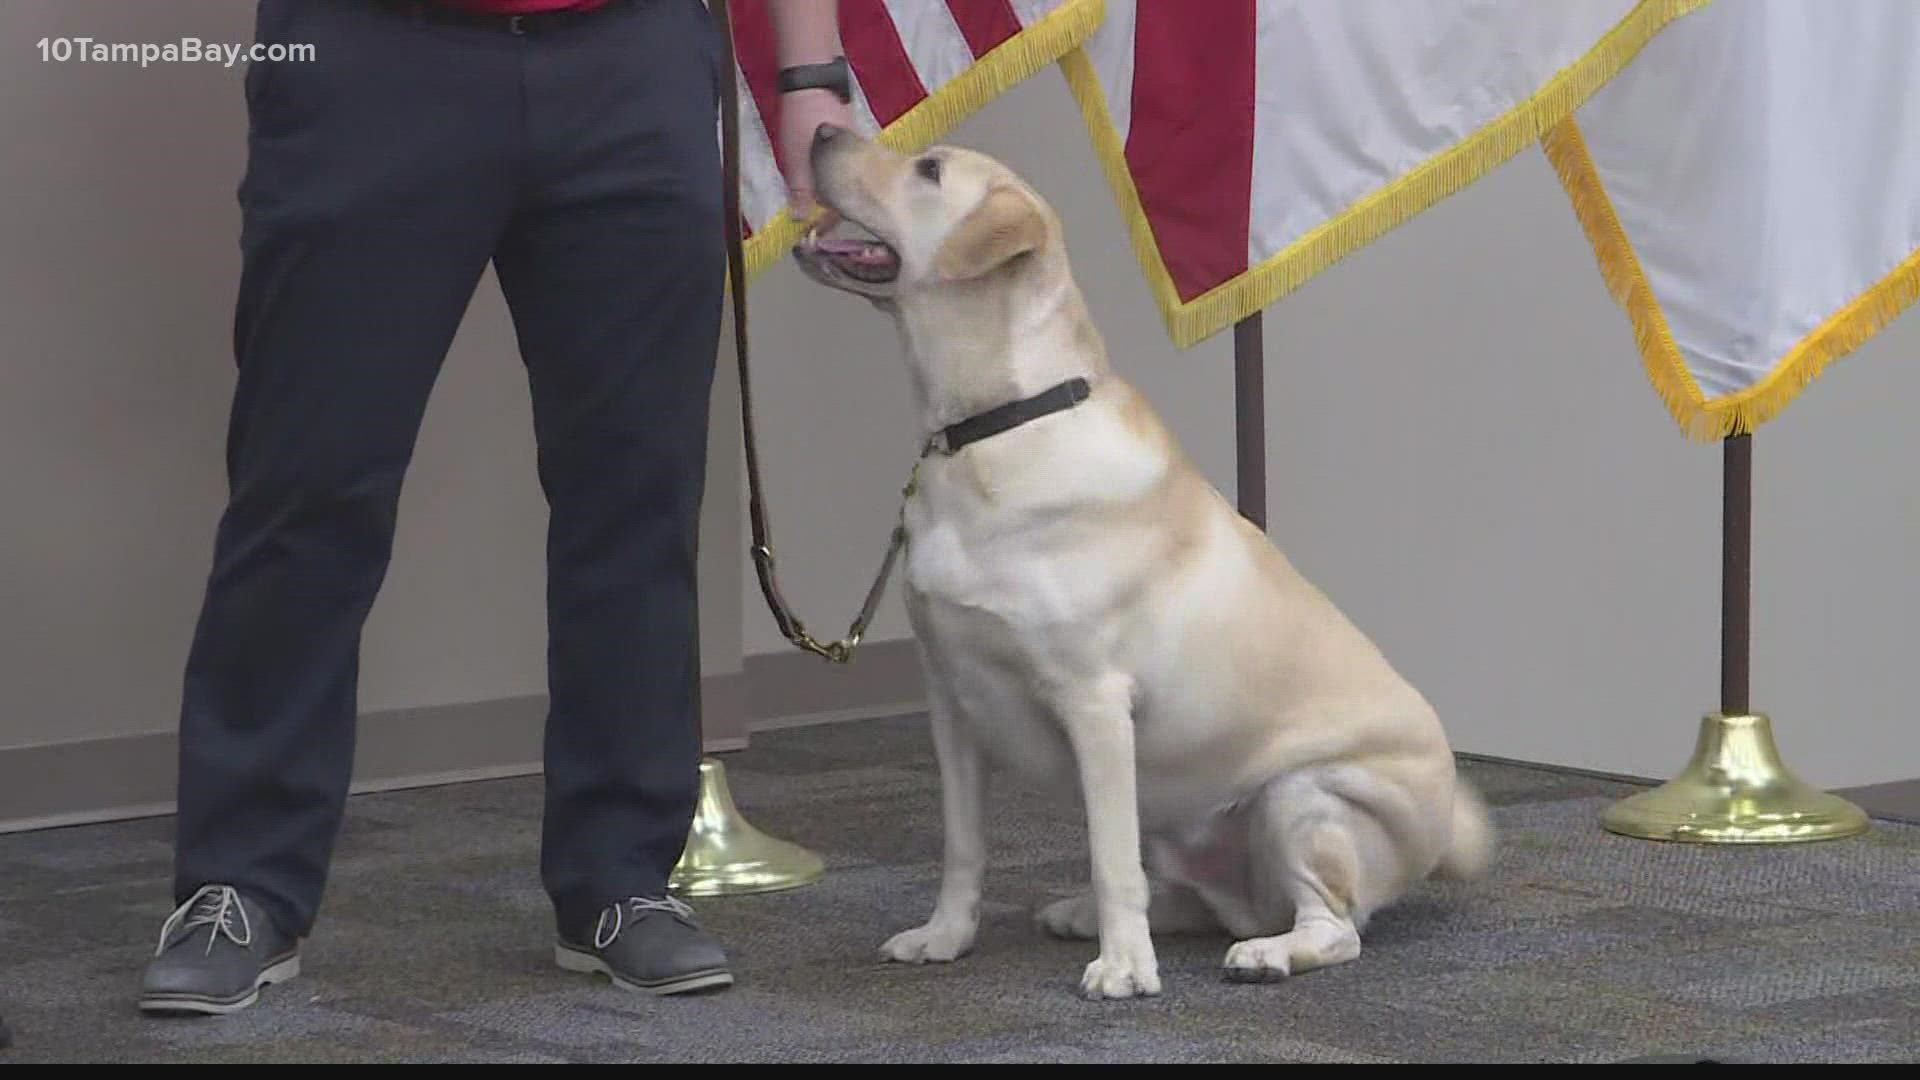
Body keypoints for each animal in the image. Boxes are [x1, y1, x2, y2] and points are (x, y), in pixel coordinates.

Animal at [787, 127, 1489, 999]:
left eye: (930, 169)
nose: (820, 131)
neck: (994, 427)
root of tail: (1446, 817)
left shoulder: (1093, 700)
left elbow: (1109, 852)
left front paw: (1124, 968)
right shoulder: (949, 699)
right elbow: (962, 845)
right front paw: (945, 937)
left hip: (1302, 797)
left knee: (1332, 926)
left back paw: (1265, 953)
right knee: (1201, 900)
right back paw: (1087, 915)